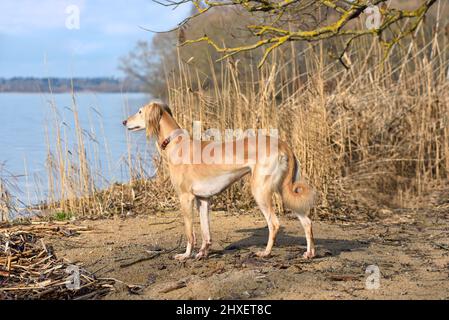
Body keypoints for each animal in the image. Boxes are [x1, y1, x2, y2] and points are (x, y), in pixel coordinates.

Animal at [123, 101, 316, 262]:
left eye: (140, 111)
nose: (124, 122)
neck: (176, 143)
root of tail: (284, 145)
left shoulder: (185, 198)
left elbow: (190, 233)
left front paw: (186, 255)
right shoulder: (203, 200)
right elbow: (205, 232)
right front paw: (203, 253)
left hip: (260, 190)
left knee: (274, 224)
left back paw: (266, 253)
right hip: (285, 191)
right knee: (306, 221)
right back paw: (309, 253)